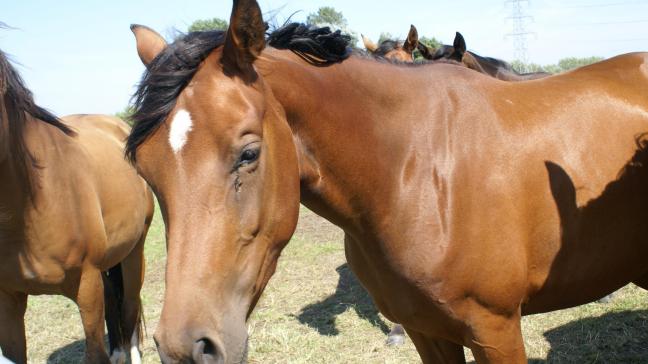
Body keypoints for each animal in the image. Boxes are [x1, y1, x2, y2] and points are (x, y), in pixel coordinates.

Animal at [128, 1, 648, 362]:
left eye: (248, 154)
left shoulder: (497, 331)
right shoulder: (426, 330)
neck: (418, 173)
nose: (185, 347)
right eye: (145, 171)